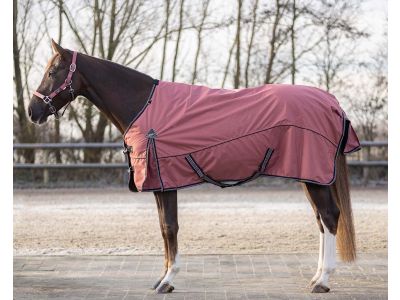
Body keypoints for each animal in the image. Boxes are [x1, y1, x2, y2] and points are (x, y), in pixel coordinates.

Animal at [28, 39, 360, 292]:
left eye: (53, 71)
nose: (33, 111)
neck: (142, 104)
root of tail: (332, 103)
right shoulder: (161, 183)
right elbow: (164, 229)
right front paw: (163, 278)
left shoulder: (164, 182)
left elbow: (169, 227)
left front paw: (167, 281)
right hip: (310, 177)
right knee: (321, 221)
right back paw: (315, 277)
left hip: (315, 177)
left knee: (330, 217)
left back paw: (323, 281)